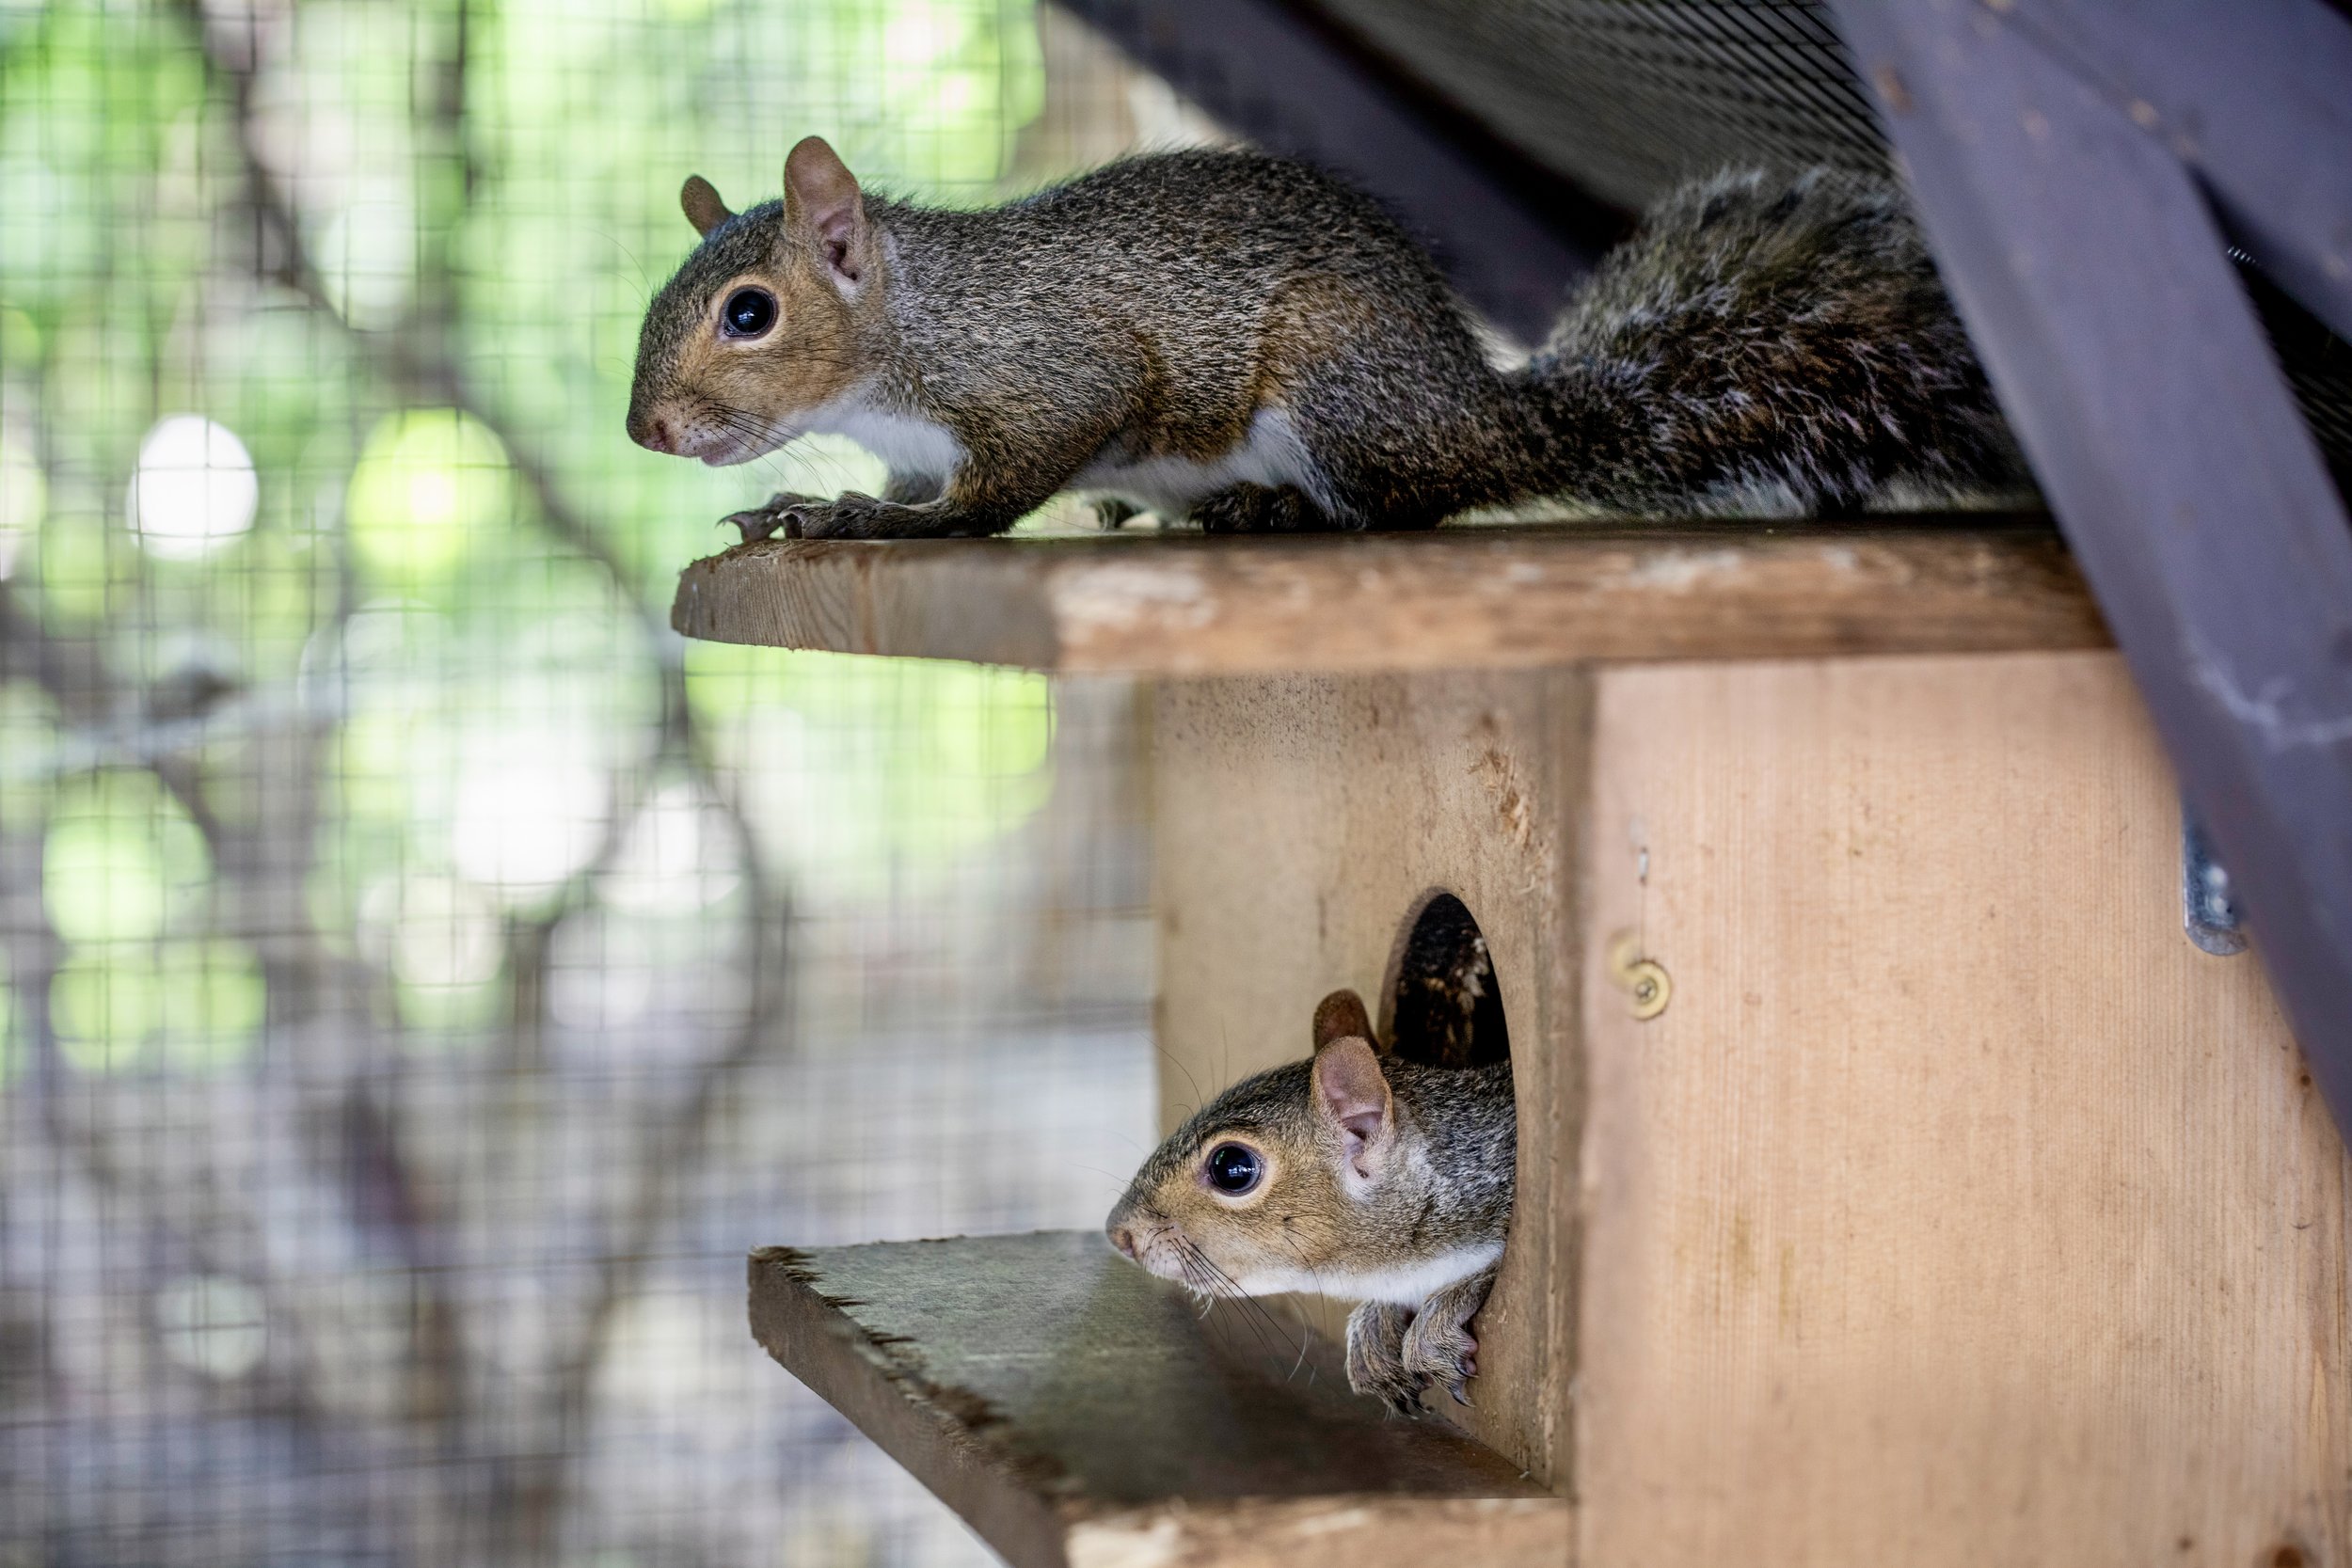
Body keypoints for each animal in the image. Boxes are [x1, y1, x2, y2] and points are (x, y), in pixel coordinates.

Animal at [627, 138, 2027, 539]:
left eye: (748, 313)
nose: (645, 431)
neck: (910, 331)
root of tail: (1478, 408)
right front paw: (805, 508)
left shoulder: (1052, 373)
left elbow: (988, 497)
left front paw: (867, 521)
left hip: (1334, 388)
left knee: (1403, 504)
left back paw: (1271, 508)